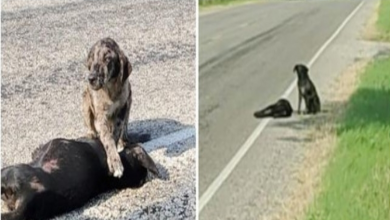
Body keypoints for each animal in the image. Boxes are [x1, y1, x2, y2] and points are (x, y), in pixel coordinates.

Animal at [81, 37, 132, 178]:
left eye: (107, 59)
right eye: (92, 58)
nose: (91, 78)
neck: (110, 89)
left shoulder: (122, 108)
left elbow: (116, 132)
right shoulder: (101, 116)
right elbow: (108, 138)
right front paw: (115, 162)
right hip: (85, 102)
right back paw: (92, 133)